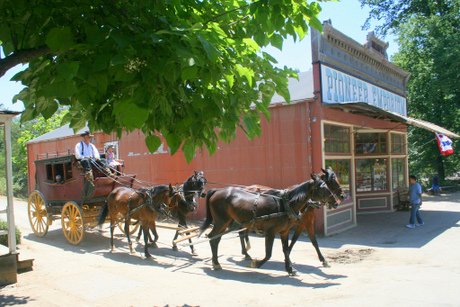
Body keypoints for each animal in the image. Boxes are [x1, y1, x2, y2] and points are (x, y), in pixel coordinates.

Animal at [199, 176, 340, 276]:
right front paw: (256, 264)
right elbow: (269, 254)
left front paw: (290, 268)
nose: (336, 202)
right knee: (212, 237)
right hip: (221, 221)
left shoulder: (285, 231)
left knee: (216, 239)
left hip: (228, 222)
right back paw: (217, 262)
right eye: (323, 188)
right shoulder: (271, 232)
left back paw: (219, 261)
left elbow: (286, 249)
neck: (286, 204)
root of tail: (217, 191)